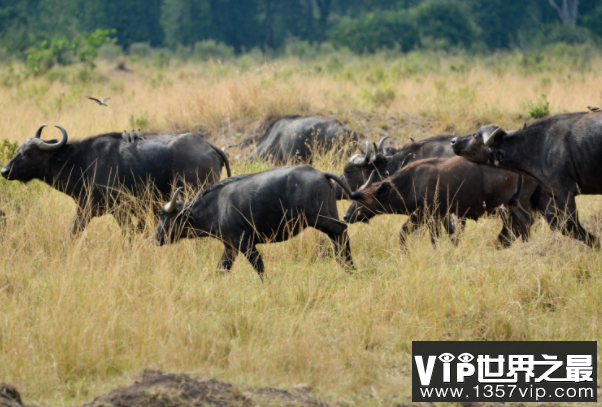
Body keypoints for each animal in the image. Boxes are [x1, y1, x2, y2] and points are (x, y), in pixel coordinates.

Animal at [0, 126, 230, 236]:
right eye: (18, 150)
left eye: (29, 153)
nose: (5, 170)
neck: (83, 161)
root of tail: (209, 146)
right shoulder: (85, 209)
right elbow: (73, 233)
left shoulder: (120, 209)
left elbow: (129, 233)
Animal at [152, 165, 354, 280]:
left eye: (165, 217)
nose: (155, 238)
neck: (217, 206)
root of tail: (320, 173)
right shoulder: (230, 248)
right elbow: (221, 269)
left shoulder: (244, 242)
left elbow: (259, 265)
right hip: (328, 215)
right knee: (338, 237)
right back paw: (346, 266)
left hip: (319, 219)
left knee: (342, 230)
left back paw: (351, 267)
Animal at [342, 157, 528, 249]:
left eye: (362, 200)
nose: (346, 216)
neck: (412, 182)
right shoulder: (425, 217)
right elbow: (404, 234)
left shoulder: (430, 217)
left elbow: (434, 240)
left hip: (505, 207)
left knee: (522, 223)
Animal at [452, 110, 602, 249]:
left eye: (475, 136)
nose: (453, 141)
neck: (540, 145)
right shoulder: (554, 194)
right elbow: (553, 219)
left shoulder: (565, 190)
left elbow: (570, 223)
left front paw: (597, 244)